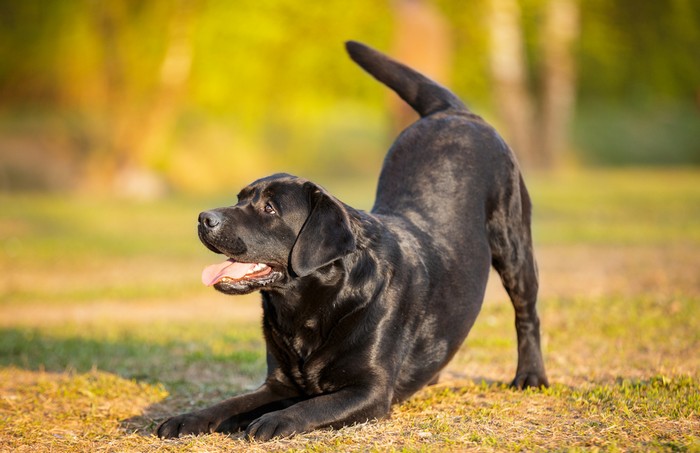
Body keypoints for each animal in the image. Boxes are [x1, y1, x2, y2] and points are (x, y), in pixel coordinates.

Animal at [159, 41, 548, 438]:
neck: (309, 308)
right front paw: (186, 417)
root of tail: (453, 111)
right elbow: (230, 404)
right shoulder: (278, 384)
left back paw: (530, 377)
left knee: (527, 313)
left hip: (513, 244)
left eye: (269, 208)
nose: (204, 218)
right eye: (240, 198)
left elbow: (310, 407)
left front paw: (272, 420)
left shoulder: (369, 391)